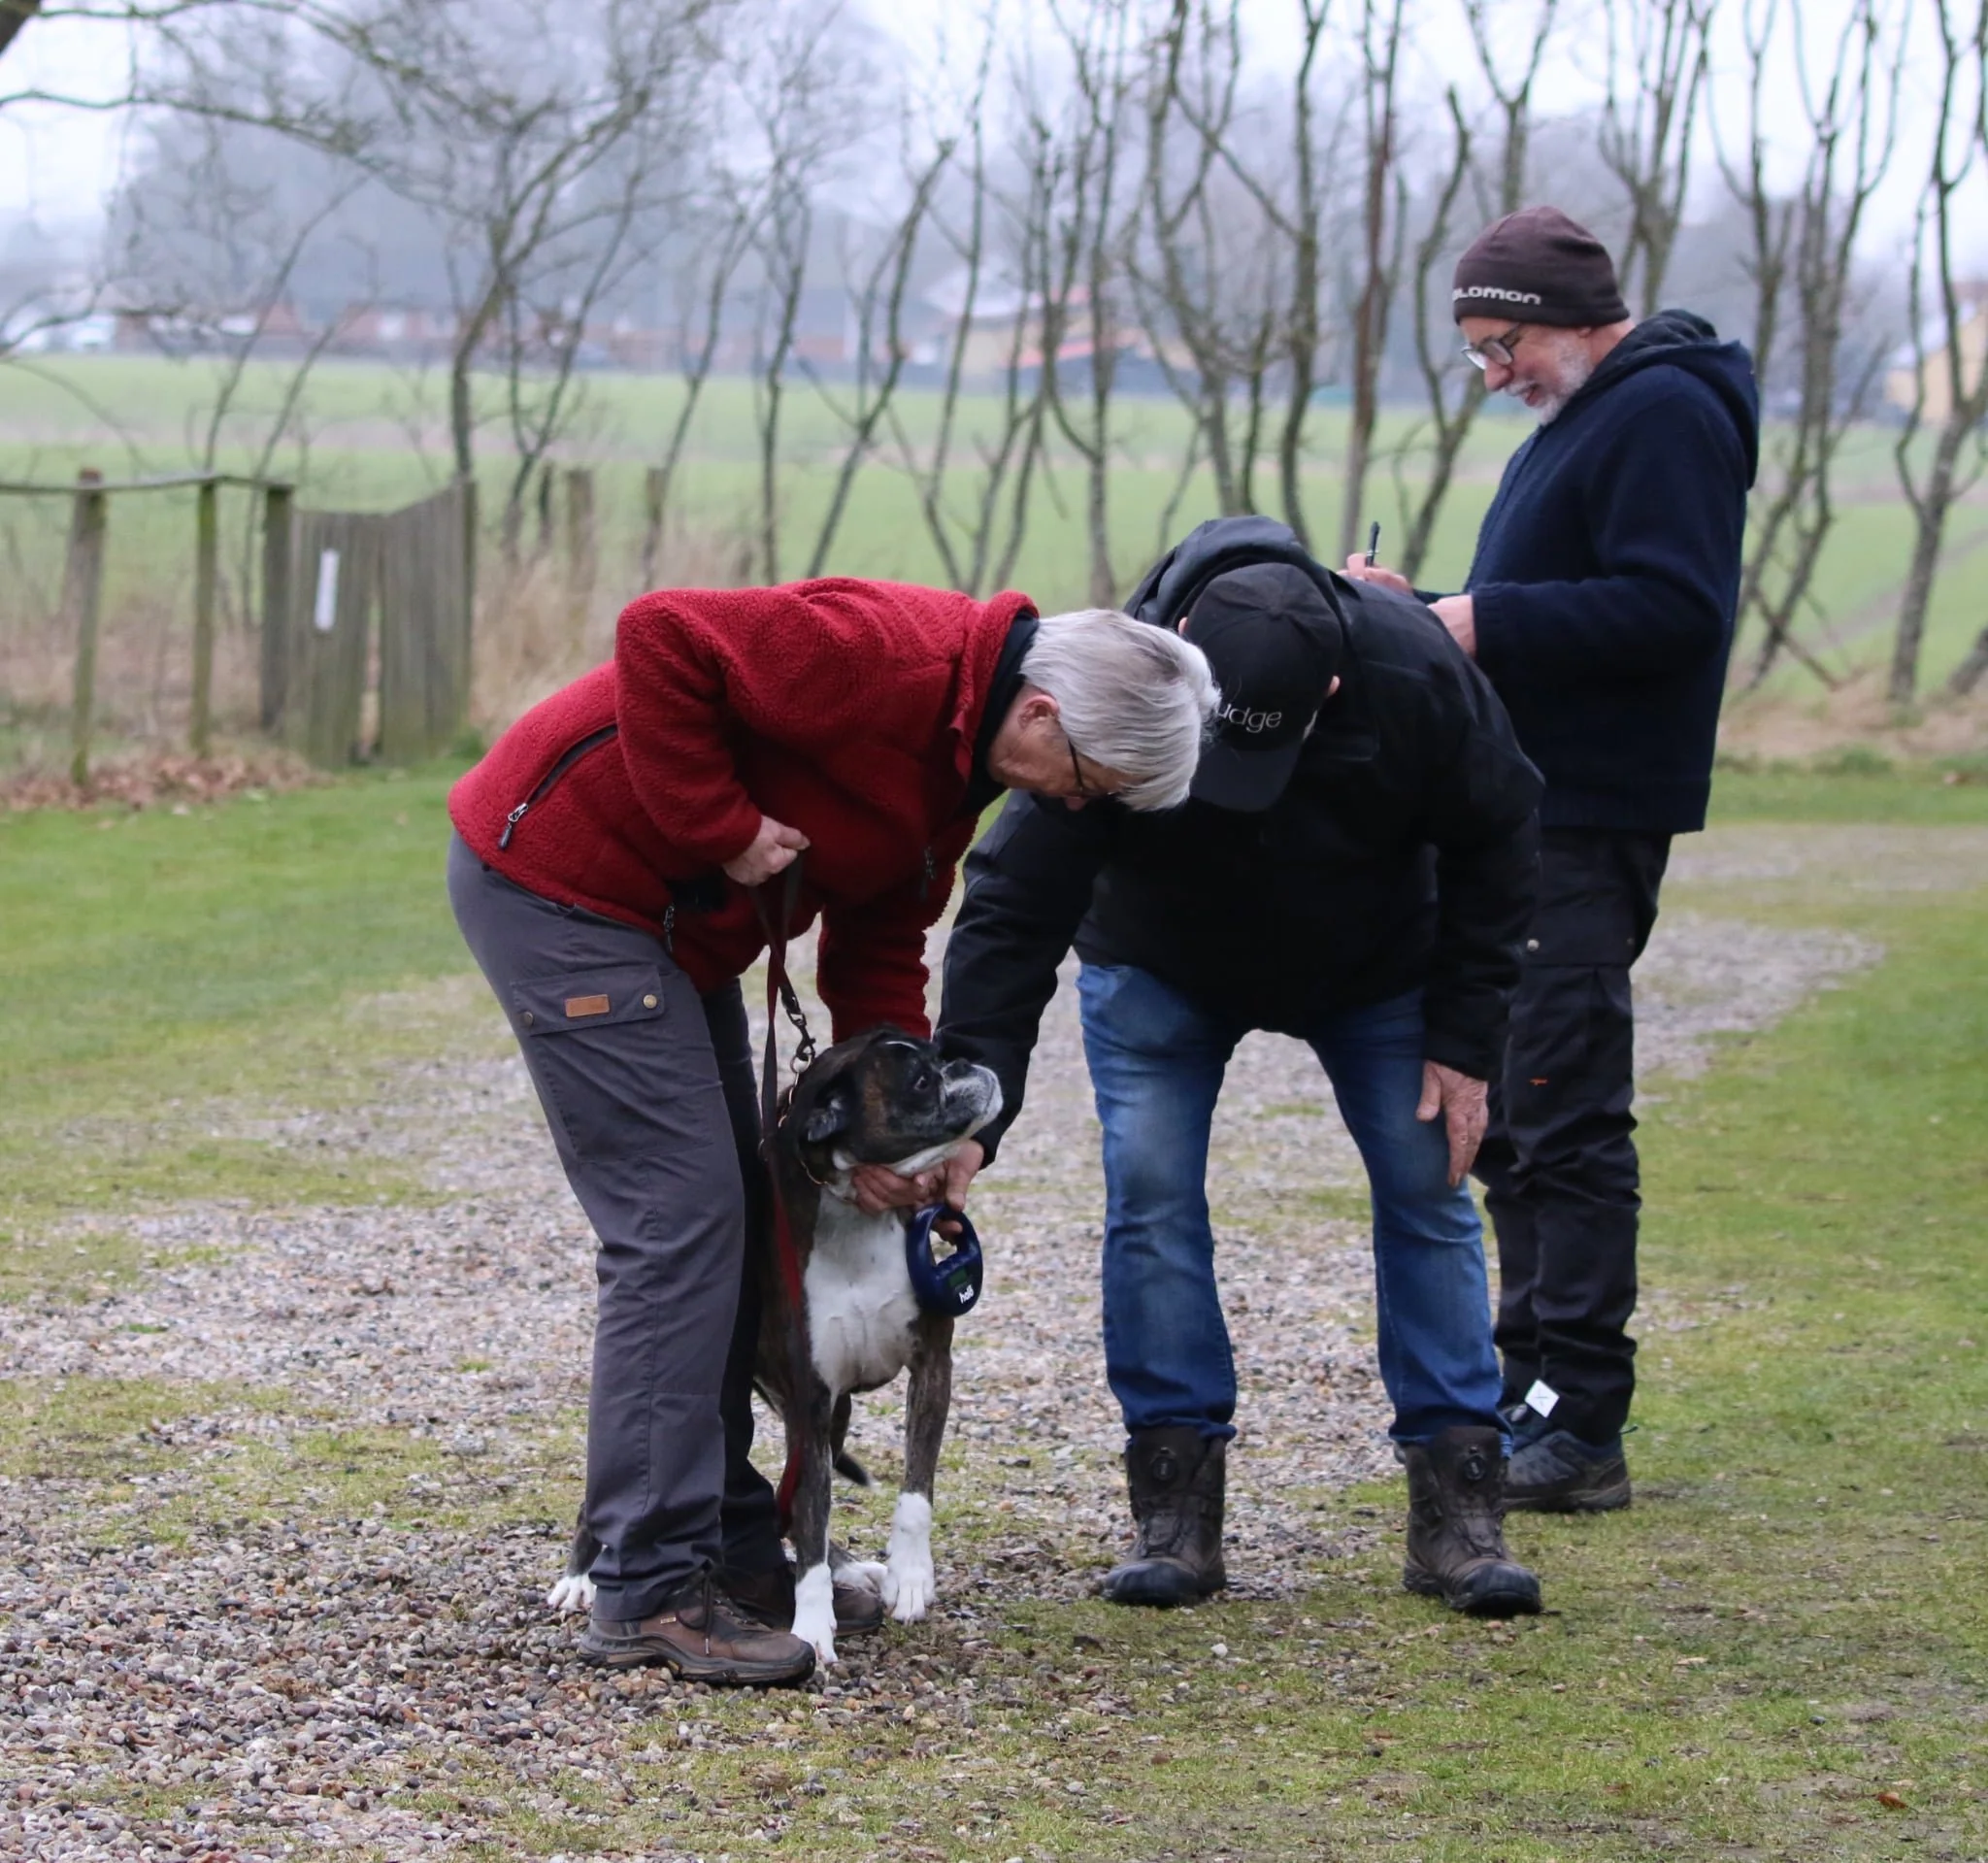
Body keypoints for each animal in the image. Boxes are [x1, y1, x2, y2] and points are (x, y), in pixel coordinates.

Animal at [547, 1026, 1000, 1666]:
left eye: (937, 1053)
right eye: (919, 1081)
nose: (966, 1063)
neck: (857, 1225)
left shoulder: (929, 1368)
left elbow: (912, 1492)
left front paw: (910, 1575)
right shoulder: (810, 1403)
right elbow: (810, 1519)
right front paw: (811, 1627)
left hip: (837, 1413)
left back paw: (854, 1570)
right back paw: (581, 1578)